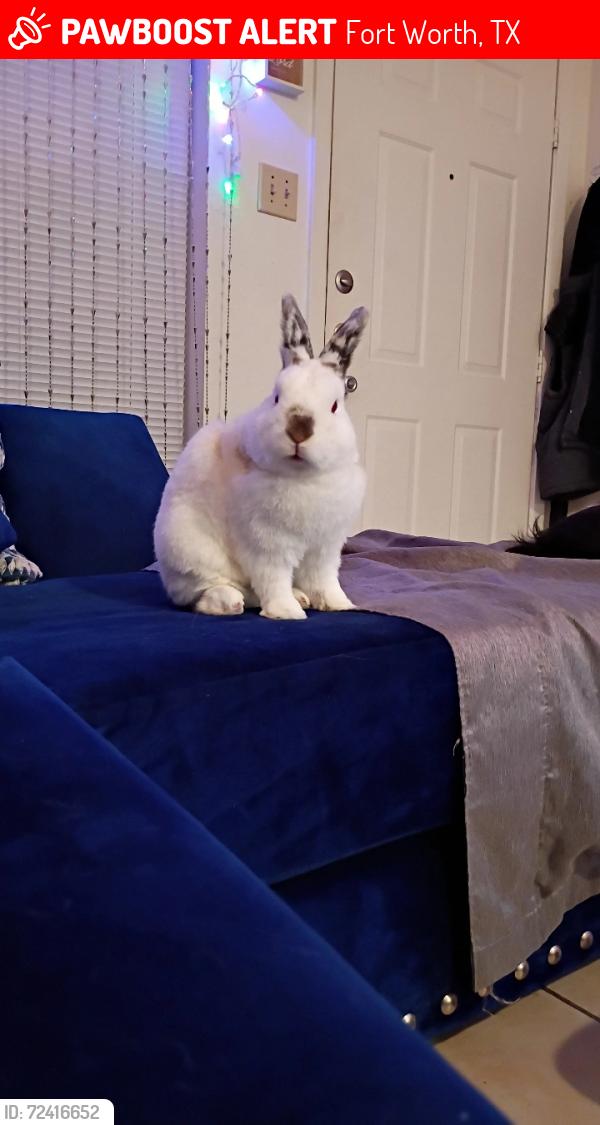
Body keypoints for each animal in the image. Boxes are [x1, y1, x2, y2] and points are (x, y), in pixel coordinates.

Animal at [154, 294, 368, 620]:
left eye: (334, 406)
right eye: (277, 397)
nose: (299, 429)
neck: (304, 478)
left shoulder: (326, 547)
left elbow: (326, 579)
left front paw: (340, 604)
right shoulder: (266, 546)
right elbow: (273, 580)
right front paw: (286, 613)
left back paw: (301, 595)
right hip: (190, 553)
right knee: (209, 593)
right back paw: (230, 602)